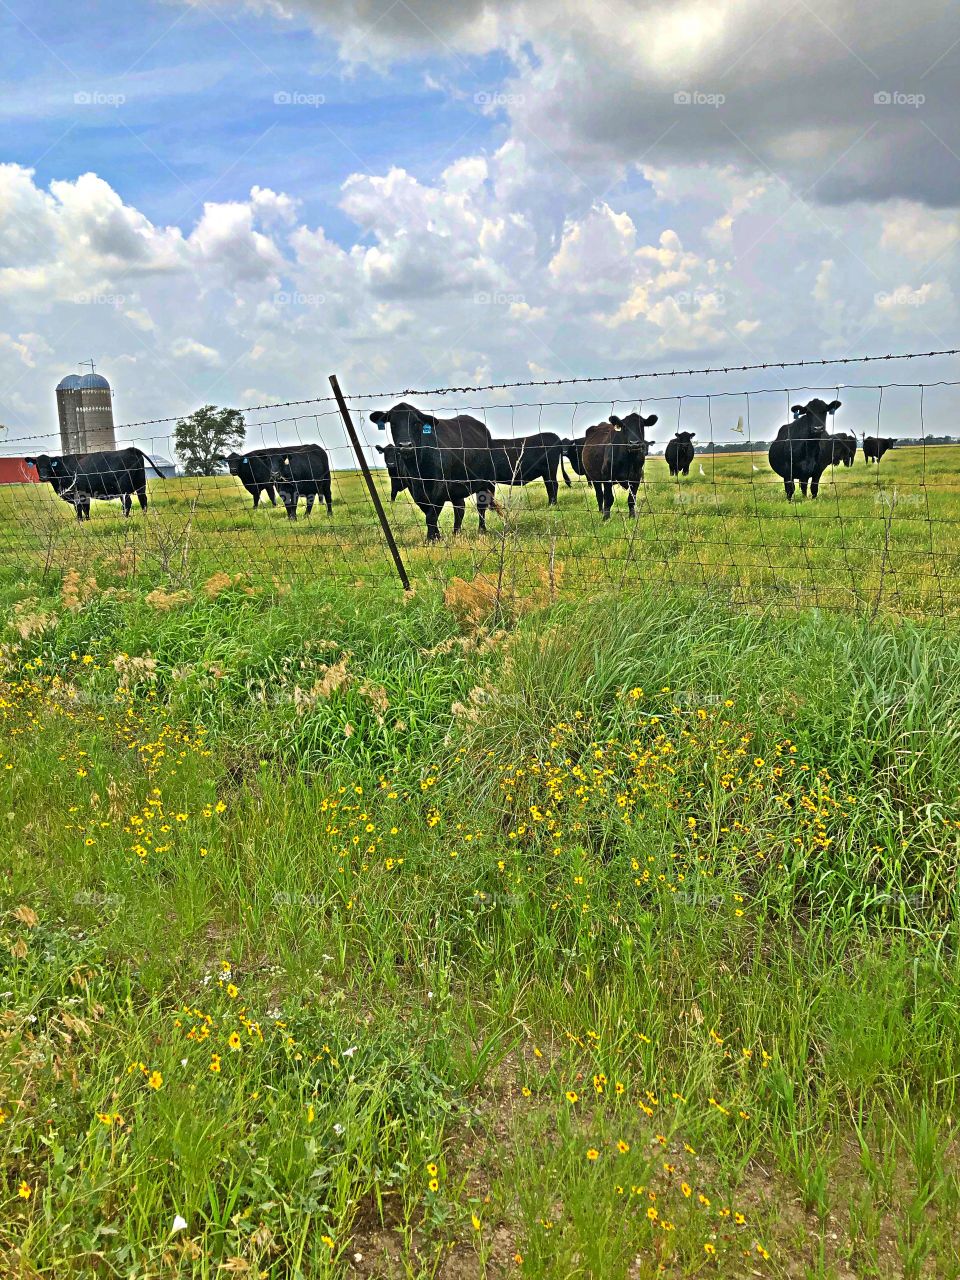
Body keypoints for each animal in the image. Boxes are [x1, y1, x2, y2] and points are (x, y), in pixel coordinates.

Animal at [25, 448, 165, 520]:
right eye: (37, 465)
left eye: (49, 464)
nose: (43, 477)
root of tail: (131, 449)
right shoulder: (84, 495)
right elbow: (86, 509)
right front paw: (87, 521)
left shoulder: (78, 493)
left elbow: (79, 509)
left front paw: (80, 522)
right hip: (141, 484)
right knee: (143, 500)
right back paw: (144, 517)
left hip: (123, 487)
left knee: (128, 503)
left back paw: (124, 518)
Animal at [367, 402, 499, 541]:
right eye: (393, 423)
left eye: (416, 423)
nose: (405, 445)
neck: (418, 470)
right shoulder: (416, 491)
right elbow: (429, 514)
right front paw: (437, 537)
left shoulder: (439, 490)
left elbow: (431, 517)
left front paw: (431, 539)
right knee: (460, 508)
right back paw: (456, 533)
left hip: (488, 482)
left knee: (481, 506)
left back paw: (482, 530)